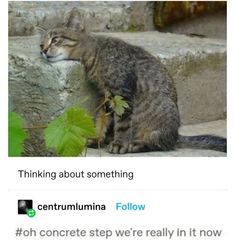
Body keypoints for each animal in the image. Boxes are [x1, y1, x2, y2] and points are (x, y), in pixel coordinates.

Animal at [38, 8, 226, 154]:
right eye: (41, 44)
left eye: (55, 39)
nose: (44, 51)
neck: (96, 54)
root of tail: (175, 135)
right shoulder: (107, 97)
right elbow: (102, 120)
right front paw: (96, 138)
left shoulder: (123, 93)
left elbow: (122, 124)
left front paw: (119, 144)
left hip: (161, 120)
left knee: (161, 144)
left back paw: (136, 145)